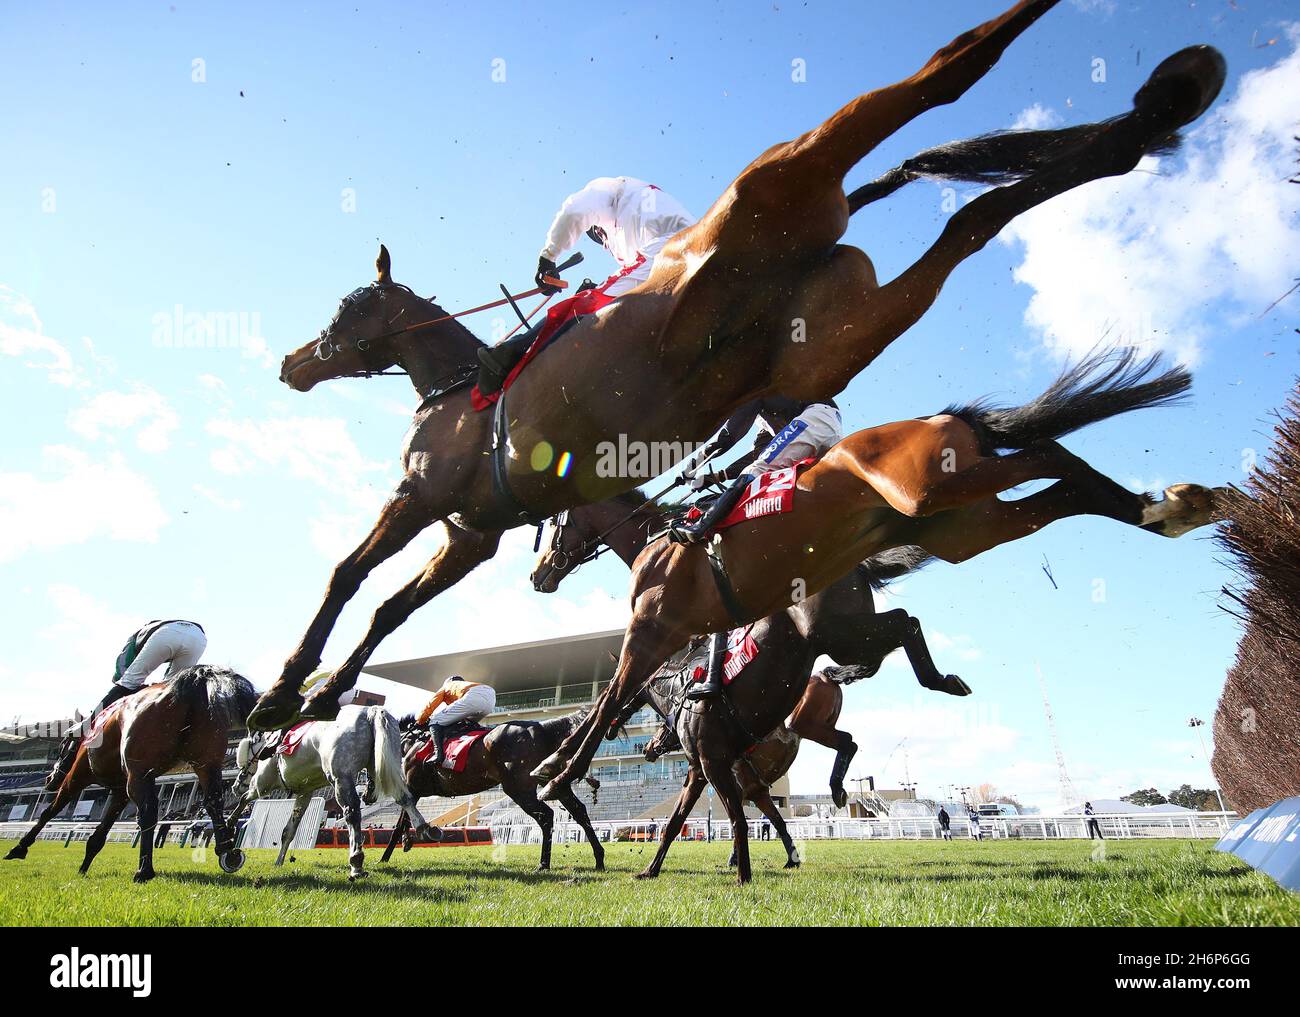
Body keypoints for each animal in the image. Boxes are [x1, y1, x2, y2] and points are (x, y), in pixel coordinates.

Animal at [3, 671, 254, 884]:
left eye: (63, 745)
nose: (48, 780)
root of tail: (192, 685)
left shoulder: (78, 776)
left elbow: (49, 811)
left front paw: (19, 848)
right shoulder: (119, 790)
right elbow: (100, 833)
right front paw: (84, 867)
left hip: (139, 774)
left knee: (149, 810)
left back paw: (144, 870)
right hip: (206, 764)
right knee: (213, 800)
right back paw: (227, 849)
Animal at [228, 707, 436, 884]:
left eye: (243, 753)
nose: (236, 784)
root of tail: (370, 711)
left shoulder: (262, 784)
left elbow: (245, 798)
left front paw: (230, 822)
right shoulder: (304, 793)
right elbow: (289, 830)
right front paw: (279, 860)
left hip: (340, 778)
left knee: (352, 812)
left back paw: (356, 861)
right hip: (386, 764)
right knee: (404, 798)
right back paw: (424, 828)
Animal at [245, 1, 1227, 733]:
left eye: (347, 309)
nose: (295, 363)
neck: (466, 383)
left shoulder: (422, 496)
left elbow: (347, 579)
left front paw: (283, 690)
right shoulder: (471, 532)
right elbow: (389, 609)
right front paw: (319, 695)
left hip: (780, 182)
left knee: (947, 69)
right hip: (856, 322)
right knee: (973, 220)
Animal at [379, 712, 608, 873]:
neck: (413, 742)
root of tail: (542, 727)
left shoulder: (412, 788)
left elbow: (400, 823)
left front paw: (386, 856)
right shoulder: (414, 790)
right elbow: (405, 820)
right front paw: (408, 841)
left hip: (519, 788)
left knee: (546, 816)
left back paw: (544, 863)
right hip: (554, 783)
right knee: (579, 812)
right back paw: (599, 858)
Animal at [535, 353, 1227, 801]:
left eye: (553, 523)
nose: (541, 575)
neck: (656, 539)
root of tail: (941, 418)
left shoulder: (652, 630)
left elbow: (609, 701)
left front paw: (557, 772)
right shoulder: (690, 632)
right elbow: (616, 699)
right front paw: (561, 763)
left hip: (929, 494)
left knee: (1051, 454)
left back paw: (1175, 504)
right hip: (961, 526)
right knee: (1056, 492)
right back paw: (1168, 511)